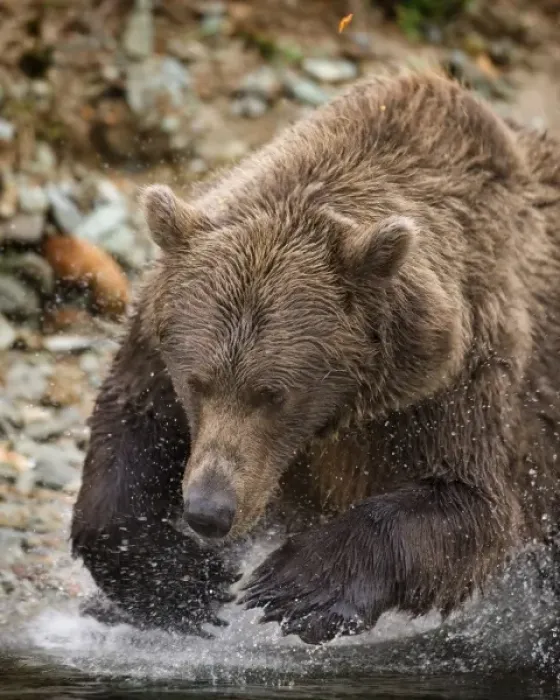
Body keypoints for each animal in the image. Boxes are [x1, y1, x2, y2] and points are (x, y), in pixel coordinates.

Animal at [70, 70, 560, 645]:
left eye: (273, 394)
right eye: (198, 382)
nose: (209, 511)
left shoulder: (460, 377)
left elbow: (470, 504)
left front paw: (296, 586)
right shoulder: (156, 341)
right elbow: (130, 429)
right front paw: (184, 582)